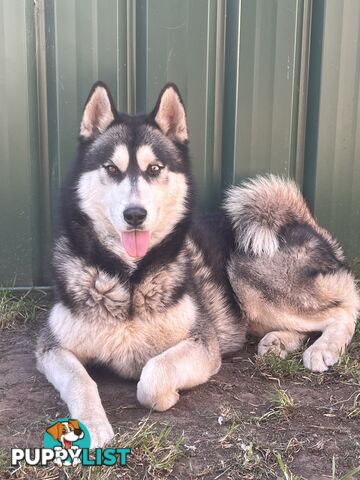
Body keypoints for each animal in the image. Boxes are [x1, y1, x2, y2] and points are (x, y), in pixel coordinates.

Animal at [35, 81, 358, 446]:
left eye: (154, 169)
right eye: (111, 169)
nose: (135, 215)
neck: (130, 278)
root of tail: (301, 220)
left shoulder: (202, 342)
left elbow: (153, 375)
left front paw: (166, 396)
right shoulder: (51, 347)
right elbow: (81, 379)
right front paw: (91, 423)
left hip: (249, 276)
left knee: (344, 308)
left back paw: (322, 349)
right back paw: (278, 342)